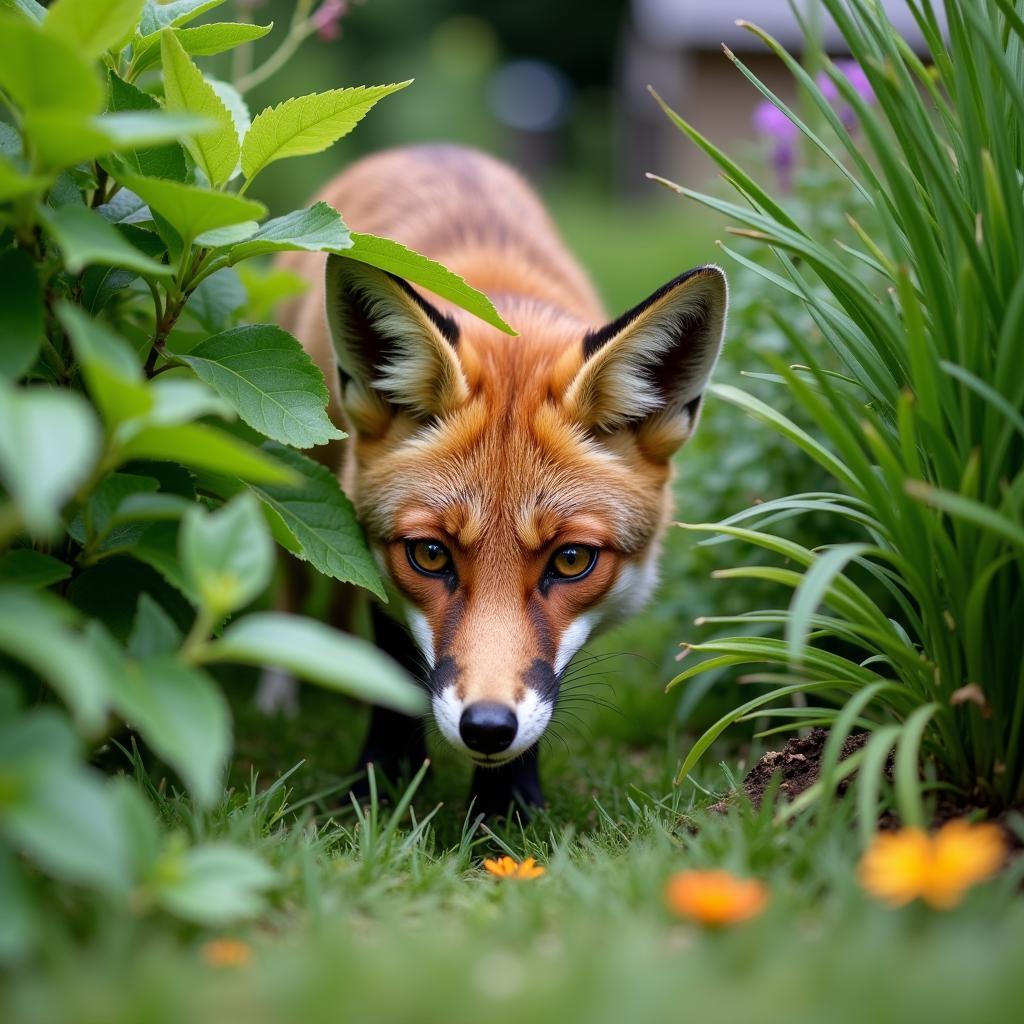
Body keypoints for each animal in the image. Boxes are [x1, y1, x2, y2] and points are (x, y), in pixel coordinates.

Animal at [272, 144, 729, 815]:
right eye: (430, 554)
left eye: (571, 561)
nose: (486, 728)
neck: (508, 307)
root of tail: (434, 147)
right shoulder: (375, 561)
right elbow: (395, 673)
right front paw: (379, 785)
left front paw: (504, 811)